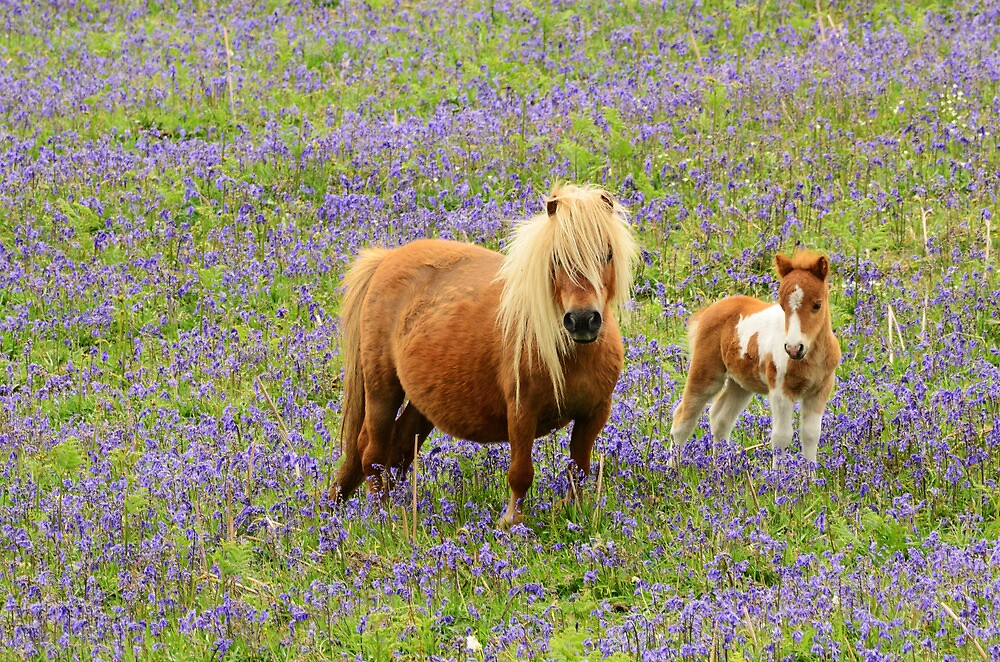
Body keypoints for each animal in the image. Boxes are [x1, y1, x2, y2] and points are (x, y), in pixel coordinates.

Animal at [332, 184, 636, 528]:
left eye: (607, 254)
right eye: (557, 259)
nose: (583, 320)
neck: (575, 355)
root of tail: (387, 258)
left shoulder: (594, 414)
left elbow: (579, 470)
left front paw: (575, 515)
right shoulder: (521, 411)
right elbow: (521, 473)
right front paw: (511, 523)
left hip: (422, 404)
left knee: (397, 449)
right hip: (382, 390)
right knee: (371, 453)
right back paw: (381, 515)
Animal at [668, 252, 840, 474]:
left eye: (817, 305)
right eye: (782, 306)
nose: (794, 348)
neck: (811, 356)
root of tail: (709, 309)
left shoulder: (820, 390)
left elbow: (810, 434)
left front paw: (811, 478)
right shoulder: (780, 391)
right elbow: (781, 436)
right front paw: (778, 478)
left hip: (740, 384)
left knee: (720, 418)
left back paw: (722, 469)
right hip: (706, 373)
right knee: (683, 417)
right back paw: (671, 471)